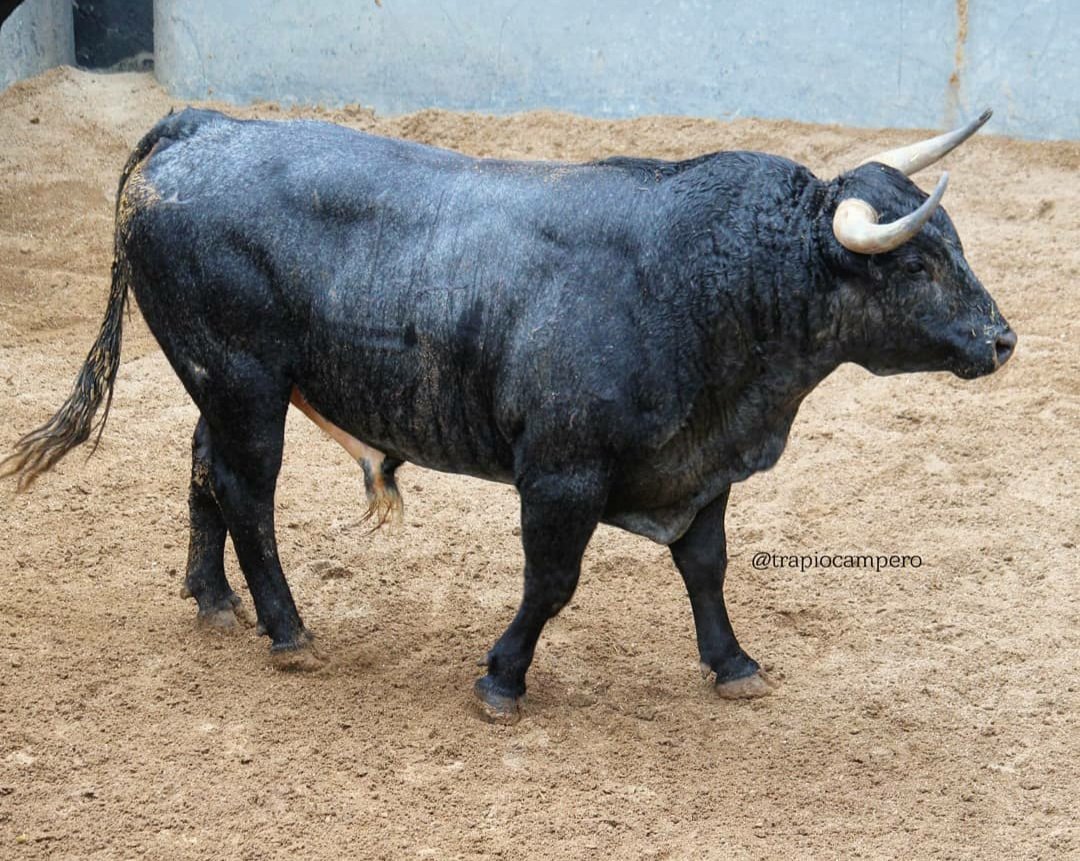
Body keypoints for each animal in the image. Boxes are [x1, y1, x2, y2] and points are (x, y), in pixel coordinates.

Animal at [1, 107, 1014, 722]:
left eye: (955, 242)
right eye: (915, 262)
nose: (1002, 339)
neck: (702, 278)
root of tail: (201, 125)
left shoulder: (701, 465)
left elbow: (706, 565)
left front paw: (734, 664)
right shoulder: (560, 474)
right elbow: (553, 581)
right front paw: (502, 676)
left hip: (220, 384)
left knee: (204, 467)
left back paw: (213, 599)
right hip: (247, 383)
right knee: (248, 491)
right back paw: (287, 631)